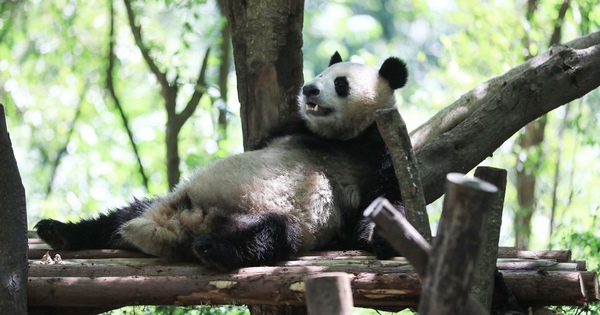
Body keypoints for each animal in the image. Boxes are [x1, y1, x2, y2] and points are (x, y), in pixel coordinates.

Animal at [36, 52, 408, 272]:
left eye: (340, 83)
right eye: (322, 73)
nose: (309, 90)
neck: (340, 138)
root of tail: (181, 223)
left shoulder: (379, 149)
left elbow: (384, 199)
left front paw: (383, 238)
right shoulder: (292, 127)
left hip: (269, 219)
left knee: (273, 235)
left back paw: (213, 249)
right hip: (166, 200)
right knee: (118, 216)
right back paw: (58, 232)